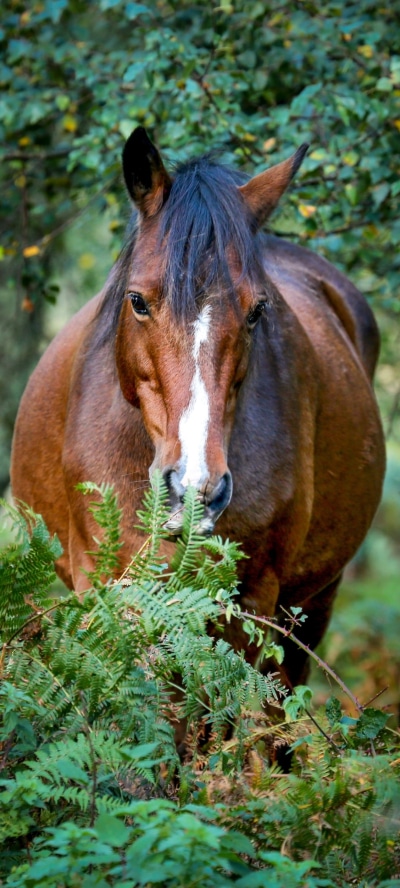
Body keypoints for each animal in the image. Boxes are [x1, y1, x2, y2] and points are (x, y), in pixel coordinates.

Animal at [11, 126, 385, 692]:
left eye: (258, 310)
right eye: (138, 301)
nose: (194, 488)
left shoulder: (249, 604)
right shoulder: (113, 591)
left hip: (310, 608)